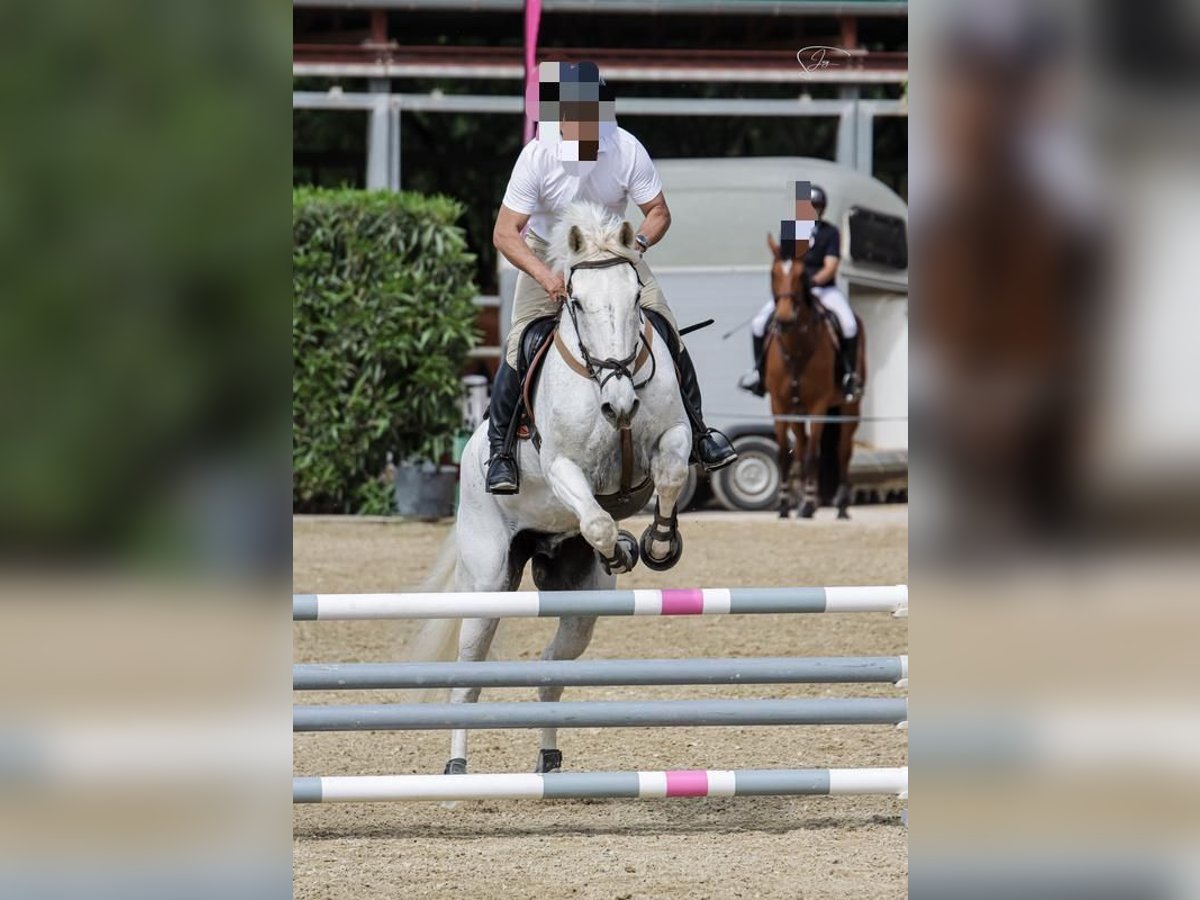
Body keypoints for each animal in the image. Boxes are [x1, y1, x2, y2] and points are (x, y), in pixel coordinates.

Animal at [420, 202, 691, 777]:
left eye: (636, 298)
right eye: (578, 303)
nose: (619, 405)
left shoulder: (675, 435)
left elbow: (672, 475)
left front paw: (657, 543)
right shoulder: (565, 465)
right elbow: (596, 518)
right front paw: (619, 548)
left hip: (580, 605)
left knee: (550, 667)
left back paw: (548, 756)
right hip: (487, 585)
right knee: (467, 676)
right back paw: (456, 767)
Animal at [768, 232, 864, 520]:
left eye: (802, 276)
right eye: (773, 273)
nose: (785, 318)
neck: (796, 348)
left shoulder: (818, 405)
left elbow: (813, 454)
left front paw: (809, 504)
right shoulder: (780, 405)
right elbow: (786, 455)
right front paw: (785, 505)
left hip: (849, 406)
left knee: (842, 450)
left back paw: (841, 504)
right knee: (800, 447)